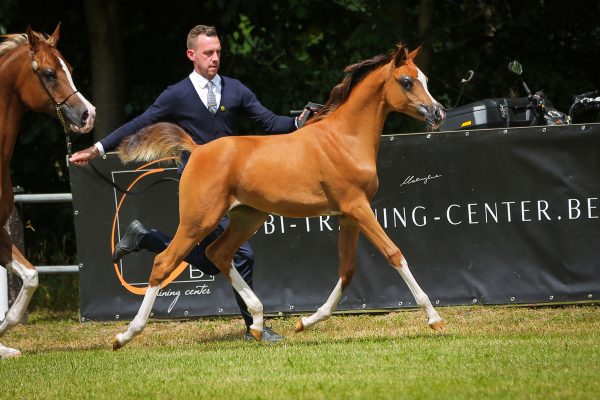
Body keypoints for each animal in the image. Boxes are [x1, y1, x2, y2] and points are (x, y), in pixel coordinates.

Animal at [112, 44, 442, 350]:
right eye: (406, 81)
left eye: (425, 79)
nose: (438, 112)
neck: (344, 139)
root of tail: (197, 149)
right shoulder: (358, 207)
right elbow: (394, 253)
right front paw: (434, 318)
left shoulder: (348, 216)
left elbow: (347, 270)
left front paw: (306, 321)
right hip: (199, 220)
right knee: (165, 262)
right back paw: (125, 333)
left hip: (247, 218)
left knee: (218, 254)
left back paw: (258, 323)